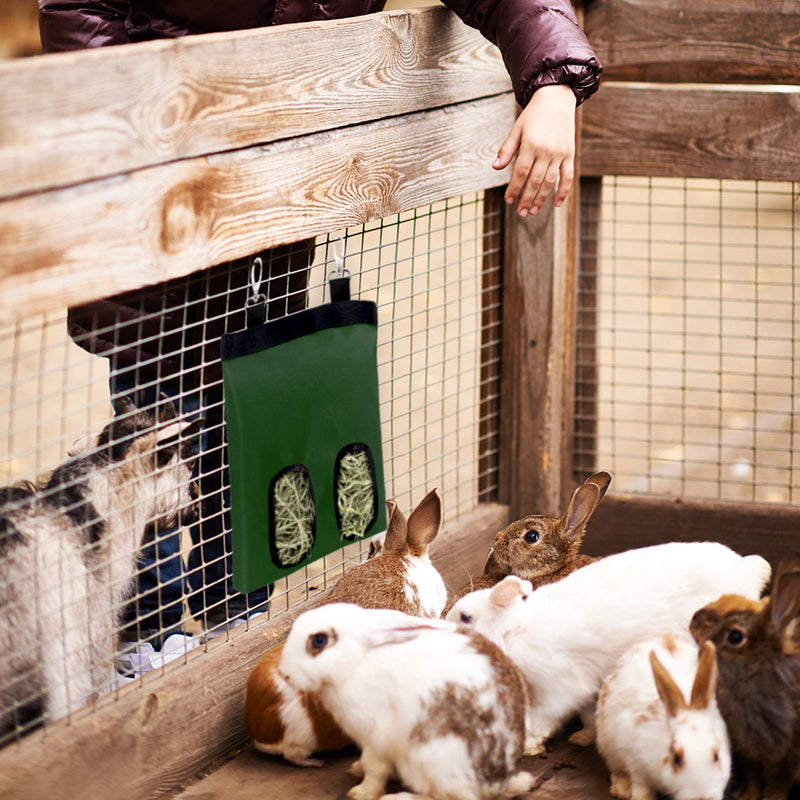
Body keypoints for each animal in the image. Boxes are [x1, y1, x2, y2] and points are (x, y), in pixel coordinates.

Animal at [684, 552, 800, 800]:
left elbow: (776, 787)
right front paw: (746, 795)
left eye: (735, 636)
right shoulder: (746, 753)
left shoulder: (785, 756)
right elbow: (753, 778)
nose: (694, 619)